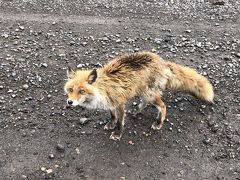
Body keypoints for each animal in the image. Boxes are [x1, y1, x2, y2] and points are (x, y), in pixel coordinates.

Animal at [63, 51, 214, 141]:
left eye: (82, 91)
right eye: (70, 90)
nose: (69, 102)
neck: (104, 88)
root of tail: (162, 61)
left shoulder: (119, 103)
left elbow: (120, 122)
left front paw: (117, 133)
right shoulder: (111, 103)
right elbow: (112, 116)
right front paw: (111, 124)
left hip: (149, 94)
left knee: (163, 106)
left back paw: (158, 123)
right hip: (143, 92)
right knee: (144, 102)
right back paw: (137, 110)